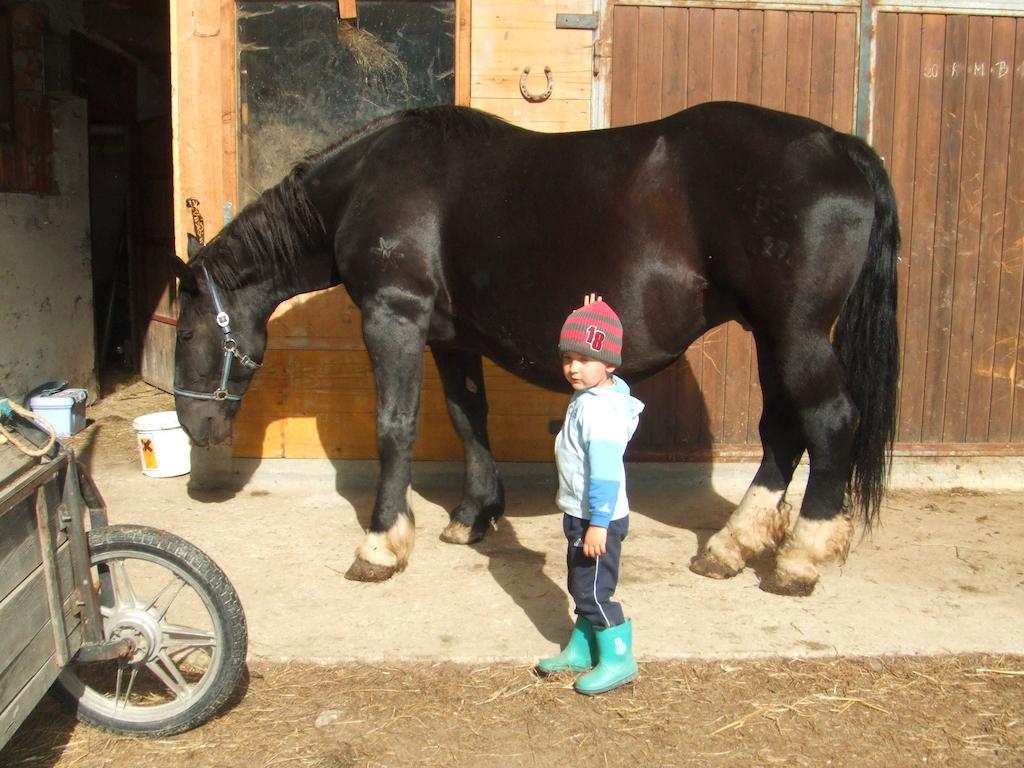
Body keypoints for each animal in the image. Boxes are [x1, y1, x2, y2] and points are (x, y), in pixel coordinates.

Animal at [172, 100, 901, 593]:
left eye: (185, 331)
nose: (196, 427)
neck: (366, 183)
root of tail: (841, 146)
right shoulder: (450, 338)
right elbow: (468, 419)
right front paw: (474, 515)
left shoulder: (393, 317)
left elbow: (395, 428)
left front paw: (380, 544)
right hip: (771, 334)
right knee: (783, 429)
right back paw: (729, 546)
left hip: (794, 332)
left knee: (828, 421)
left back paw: (799, 556)